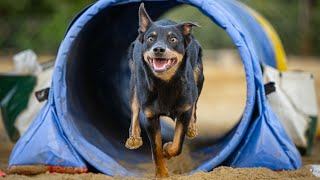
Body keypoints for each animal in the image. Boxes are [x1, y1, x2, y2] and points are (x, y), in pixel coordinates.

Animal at [125, 3, 204, 178]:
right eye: (151, 38)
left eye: (173, 39)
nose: (158, 49)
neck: (165, 83)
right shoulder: (151, 117)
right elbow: (156, 151)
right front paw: (161, 174)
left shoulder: (184, 112)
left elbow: (177, 144)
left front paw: (168, 149)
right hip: (134, 82)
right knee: (134, 110)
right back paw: (134, 137)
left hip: (199, 78)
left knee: (195, 106)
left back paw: (192, 129)